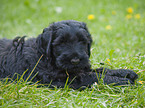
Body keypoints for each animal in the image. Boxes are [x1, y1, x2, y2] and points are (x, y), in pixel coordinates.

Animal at [0, 20, 137, 89]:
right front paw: (122, 81)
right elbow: (93, 76)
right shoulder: (60, 79)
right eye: (61, 42)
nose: (75, 61)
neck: (46, 58)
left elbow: (101, 70)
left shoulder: (80, 68)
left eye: (82, 41)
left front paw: (125, 72)